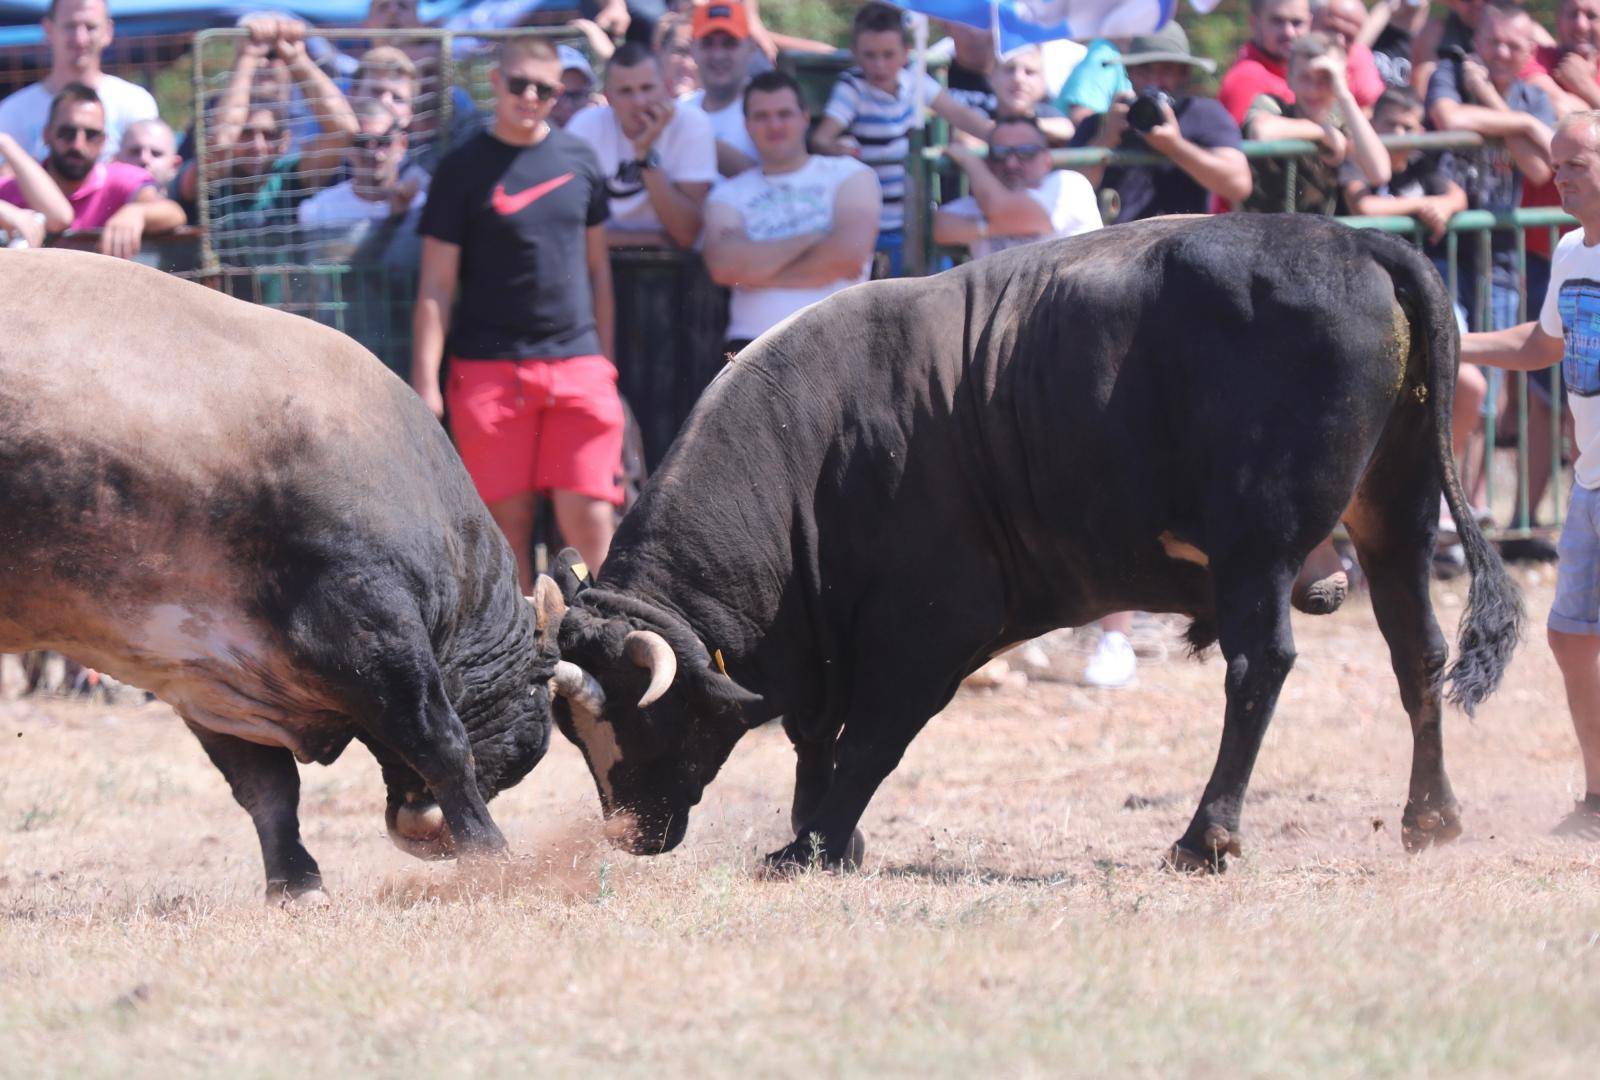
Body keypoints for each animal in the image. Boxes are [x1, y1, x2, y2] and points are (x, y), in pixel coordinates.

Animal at [550, 211, 1523, 870]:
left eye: (638, 720)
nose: (629, 834)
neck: (809, 451)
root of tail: (1363, 244)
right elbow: (815, 738)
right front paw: (823, 834)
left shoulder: (929, 627)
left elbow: (870, 739)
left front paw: (815, 844)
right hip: (1396, 516)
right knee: (1418, 652)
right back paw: (1430, 817)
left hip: (1260, 546)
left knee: (1260, 667)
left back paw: (1205, 837)